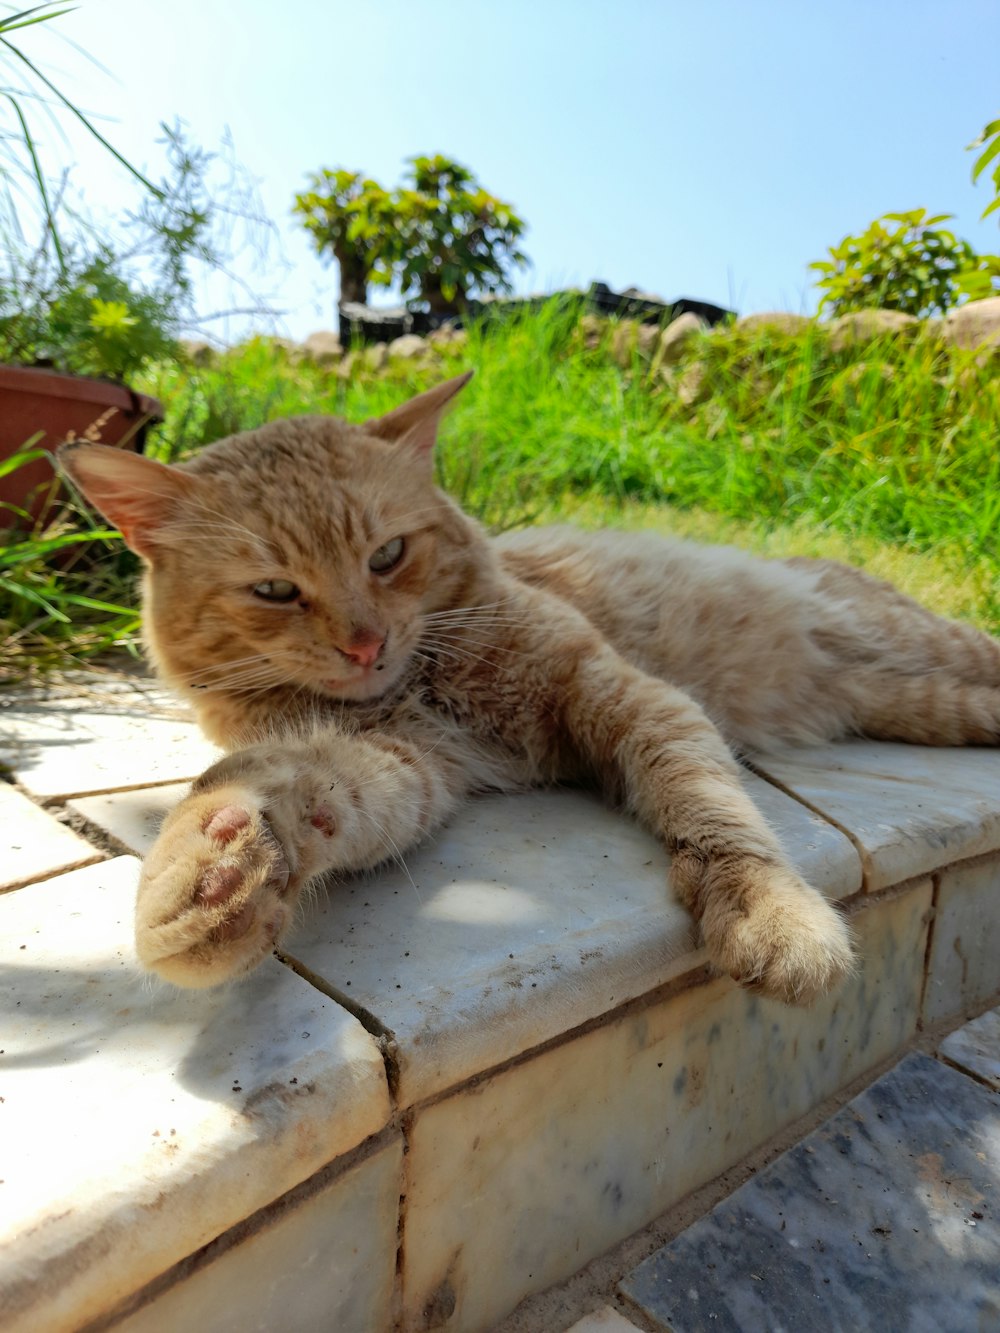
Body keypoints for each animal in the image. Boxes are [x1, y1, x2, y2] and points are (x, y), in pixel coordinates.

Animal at [62, 375, 1000, 1002]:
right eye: (274, 590)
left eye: (387, 555)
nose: (366, 644)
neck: (427, 677)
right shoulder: (411, 763)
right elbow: (303, 784)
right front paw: (216, 865)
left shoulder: (626, 697)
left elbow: (714, 809)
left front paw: (770, 908)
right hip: (920, 702)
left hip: (929, 642)